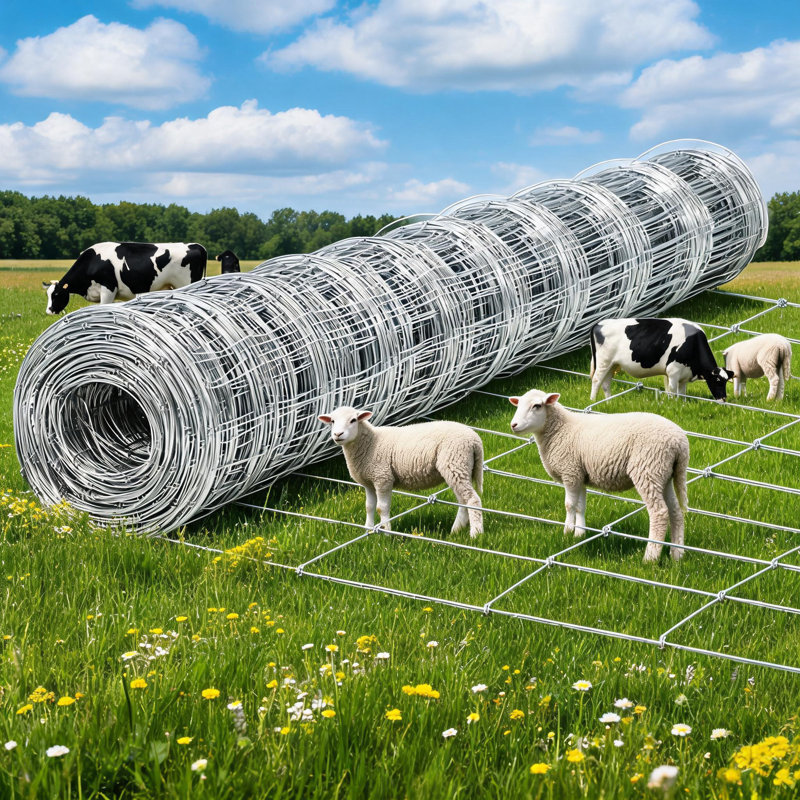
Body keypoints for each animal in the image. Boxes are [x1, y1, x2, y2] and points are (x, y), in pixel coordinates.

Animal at [319, 407, 484, 536]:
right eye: (332, 421)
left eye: (353, 420)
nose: (338, 434)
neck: (370, 442)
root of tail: (475, 440)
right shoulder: (368, 483)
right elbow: (369, 507)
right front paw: (368, 531)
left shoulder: (382, 478)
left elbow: (381, 508)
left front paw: (386, 532)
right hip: (459, 469)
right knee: (463, 501)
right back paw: (455, 530)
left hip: (455, 462)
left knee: (472, 499)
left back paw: (475, 534)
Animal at [509, 389, 689, 563]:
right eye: (518, 405)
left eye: (537, 406)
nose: (513, 425)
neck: (560, 429)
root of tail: (680, 443)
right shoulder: (579, 475)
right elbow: (580, 506)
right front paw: (579, 535)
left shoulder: (570, 472)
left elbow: (569, 505)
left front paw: (567, 532)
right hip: (664, 474)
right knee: (675, 511)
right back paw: (677, 554)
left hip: (647, 469)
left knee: (659, 512)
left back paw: (650, 558)